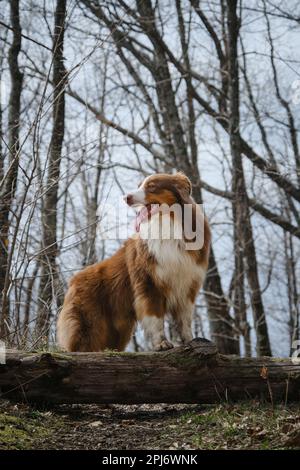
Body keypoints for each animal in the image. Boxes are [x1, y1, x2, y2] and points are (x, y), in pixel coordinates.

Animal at [56, 173, 211, 352]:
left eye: (151, 186)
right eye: (139, 186)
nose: (126, 197)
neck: (169, 225)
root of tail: (73, 281)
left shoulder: (187, 284)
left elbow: (184, 319)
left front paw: (189, 341)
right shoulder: (148, 283)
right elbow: (155, 317)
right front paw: (161, 343)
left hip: (117, 331)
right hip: (89, 323)